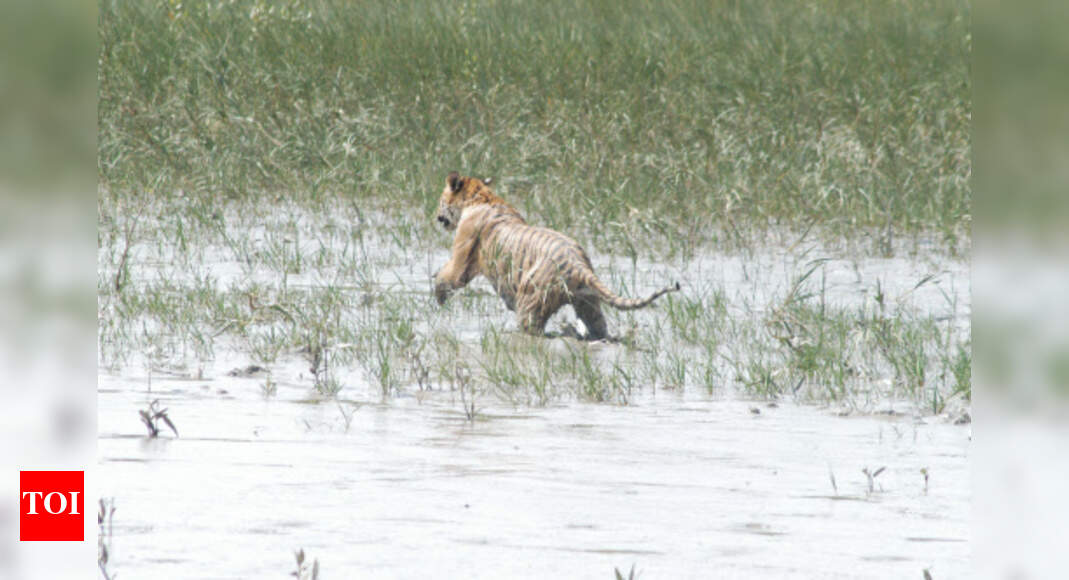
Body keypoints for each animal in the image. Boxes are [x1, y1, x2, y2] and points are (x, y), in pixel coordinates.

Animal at [433, 171, 679, 340]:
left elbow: (448, 277)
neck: (481, 197)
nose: (436, 216)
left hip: (531, 301)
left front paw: (438, 298)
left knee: (531, 328)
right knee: (598, 326)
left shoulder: (462, 257)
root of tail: (578, 263)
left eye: (440, 200)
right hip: (588, 304)